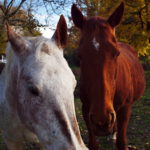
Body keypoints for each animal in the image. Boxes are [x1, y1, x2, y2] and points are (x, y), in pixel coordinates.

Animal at [71, 2, 145, 150]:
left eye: (116, 53)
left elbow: (121, 143)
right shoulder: (86, 109)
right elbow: (93, 144)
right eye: (79, 55)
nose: (102, 121)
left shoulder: (125, 109)